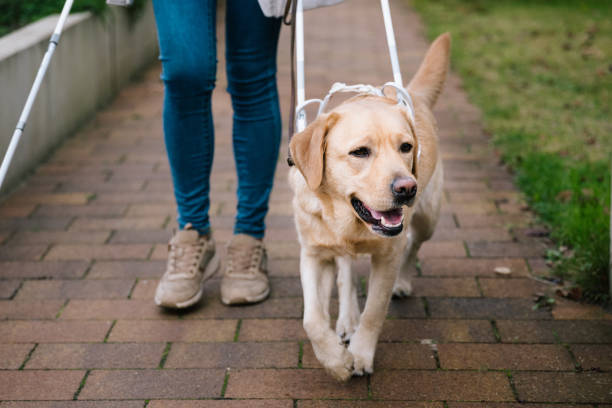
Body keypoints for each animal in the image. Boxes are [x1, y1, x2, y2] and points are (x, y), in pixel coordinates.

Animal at [286, 33, 450, 380]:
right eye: (360, 152)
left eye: (406, 147)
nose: (407, 188)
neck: (348, 221)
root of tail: (411, 93)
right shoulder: (313, 253)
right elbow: (312, 320)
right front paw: (335, 362)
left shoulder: (387, 256)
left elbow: (375, 310)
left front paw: (360, 354)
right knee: (346, 272)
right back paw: (347, 319)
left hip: (429, 218)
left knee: (413, 245)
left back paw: (401, 283)